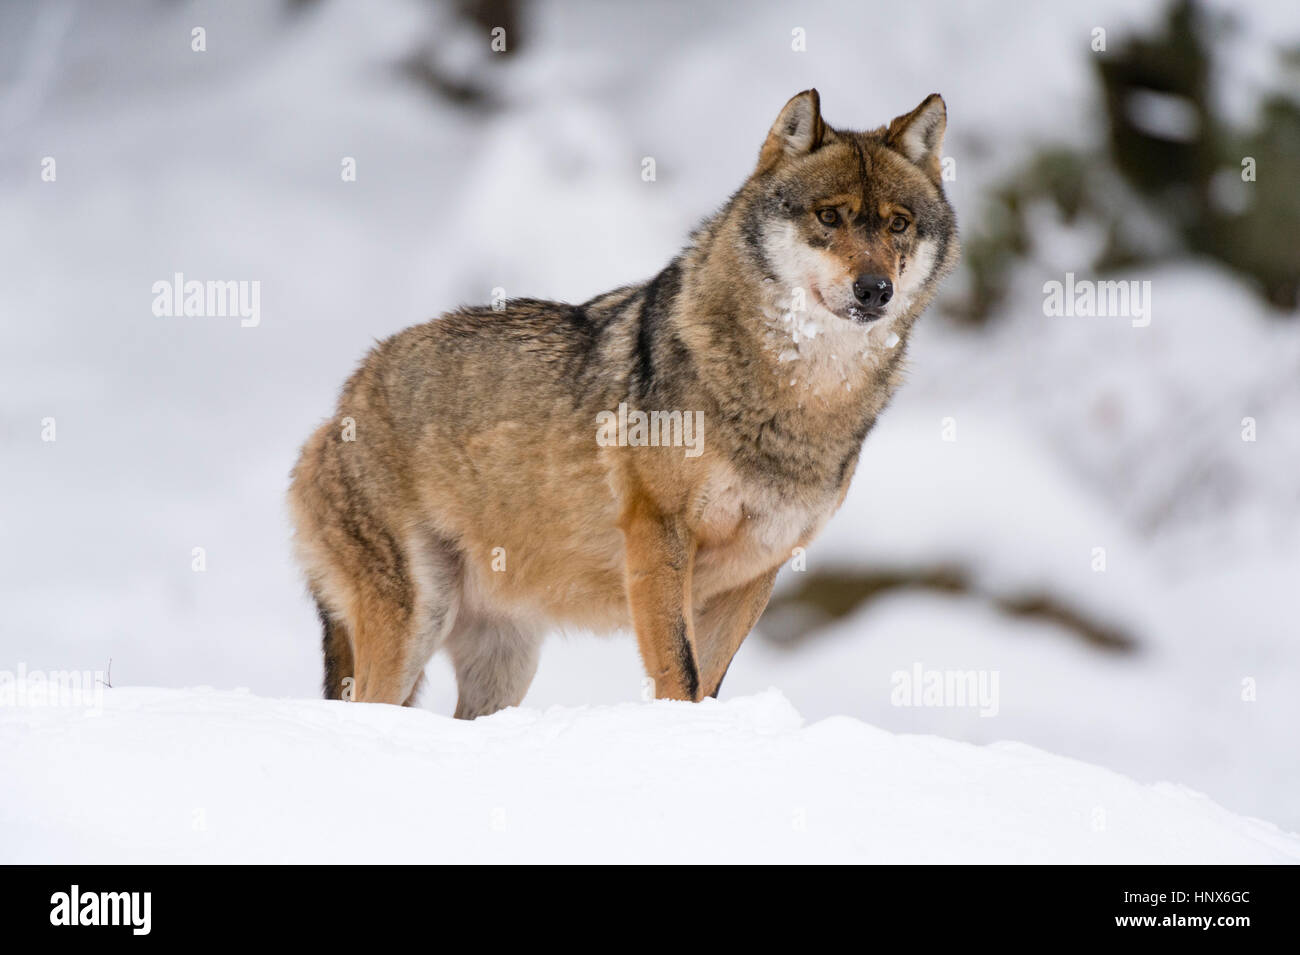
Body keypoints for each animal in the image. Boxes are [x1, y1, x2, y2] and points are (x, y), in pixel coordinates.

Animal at [289, 90, 959, 717]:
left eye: (898, 224)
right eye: (830, 216)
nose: (875, 290)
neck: (799, 402)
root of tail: (340, 403)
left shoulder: (757, 568)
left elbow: (709, 682)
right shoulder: (657, 533)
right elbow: (680, 674)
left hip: (505, 664)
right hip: (415, 626)